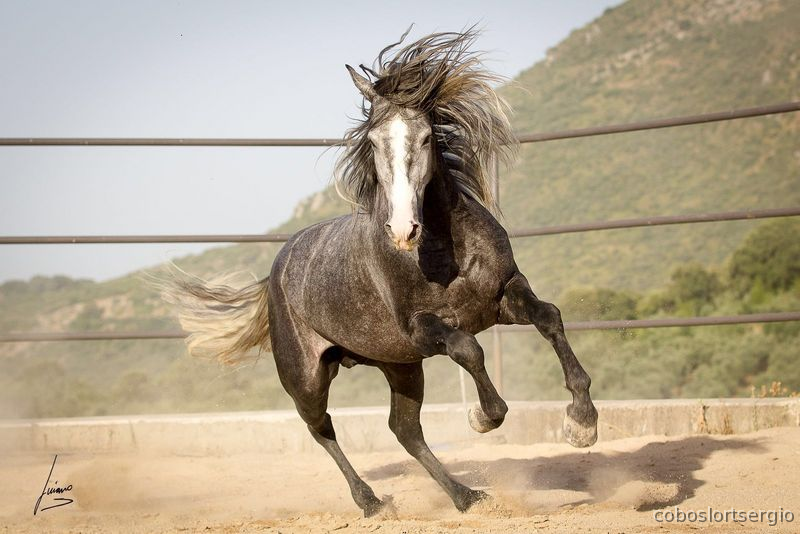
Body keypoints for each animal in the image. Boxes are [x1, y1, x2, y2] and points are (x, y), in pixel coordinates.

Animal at [159, 29, 598, 517]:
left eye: (424, 138)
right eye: (373, 142)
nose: (403, 228)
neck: (445, 255)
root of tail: (273, 272)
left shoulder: (503, 297)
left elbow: (549, 317)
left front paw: (582, 423)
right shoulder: (422, 329)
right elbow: (468, 349)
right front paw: (484, 417)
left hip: (398, 366)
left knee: (404, 430)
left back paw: (466, 496)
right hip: (307, 377)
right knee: (321, 428)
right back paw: (371, 502)